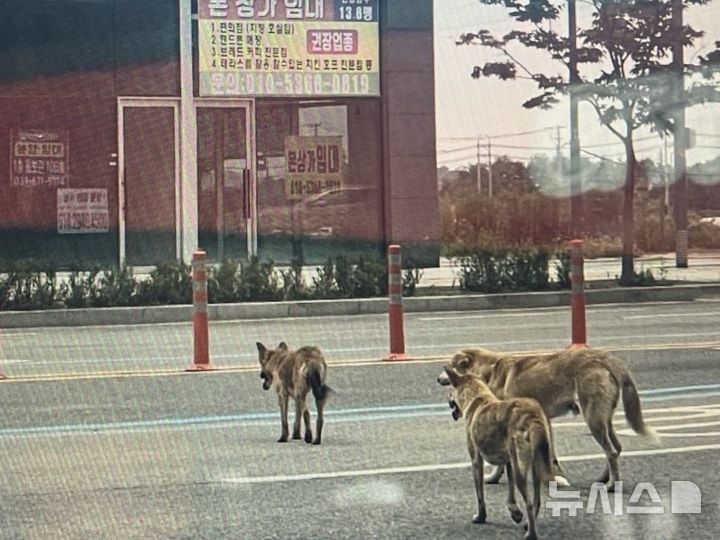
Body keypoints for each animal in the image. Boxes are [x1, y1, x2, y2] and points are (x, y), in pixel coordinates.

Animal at [438, 348, 660, 492]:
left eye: (448, 365)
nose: (437, 378)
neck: (488, 370)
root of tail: (604, 358)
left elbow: (502, 462)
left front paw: (493, 476)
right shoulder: (544, 421)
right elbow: (551, 454)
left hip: (593, 418)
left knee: (611, 451)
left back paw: (612, 485)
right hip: (604, 418)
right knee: (616, 447)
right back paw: (604, 478)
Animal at [444, 368, 552, 540]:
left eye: (450, 391)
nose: (448, 401)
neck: (477, 399)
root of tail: (532, 418)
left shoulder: (476, 460)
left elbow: (480, 494)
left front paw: (481, 517)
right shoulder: (508, 461)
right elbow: (510, 489)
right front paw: (514, 511)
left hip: (520, 468)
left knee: (529, 503)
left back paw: (531, 534)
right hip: (535, 466)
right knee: (536, 501)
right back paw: (528, 524)